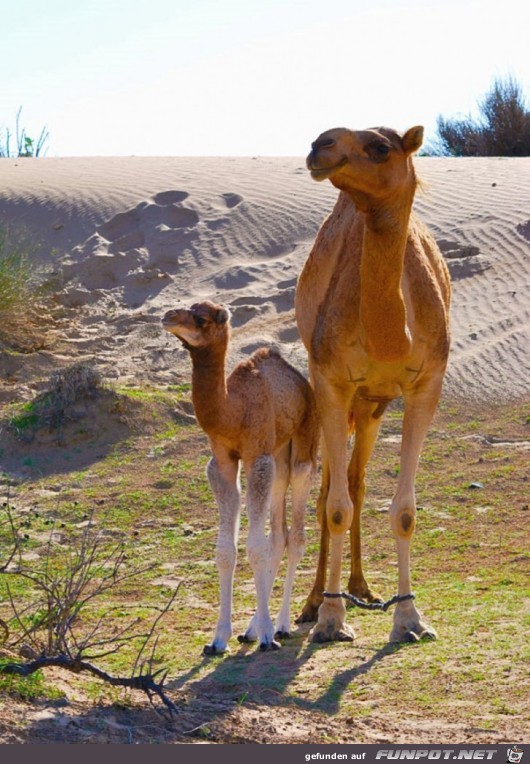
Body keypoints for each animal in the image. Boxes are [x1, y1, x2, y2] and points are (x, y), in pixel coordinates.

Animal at [161, 302, 318, 652]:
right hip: (279, 455)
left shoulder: (256, 456)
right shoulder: (222, 462)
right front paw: (219, 638)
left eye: (201, 318)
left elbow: (255, 547)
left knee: (296, 535)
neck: (233, 411)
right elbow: (226, 550)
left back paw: (281, 624)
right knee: (279, 535)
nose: (167, 316)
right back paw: (254, 628)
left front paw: (267, 636)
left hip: (303, 443)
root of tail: (302, 382)